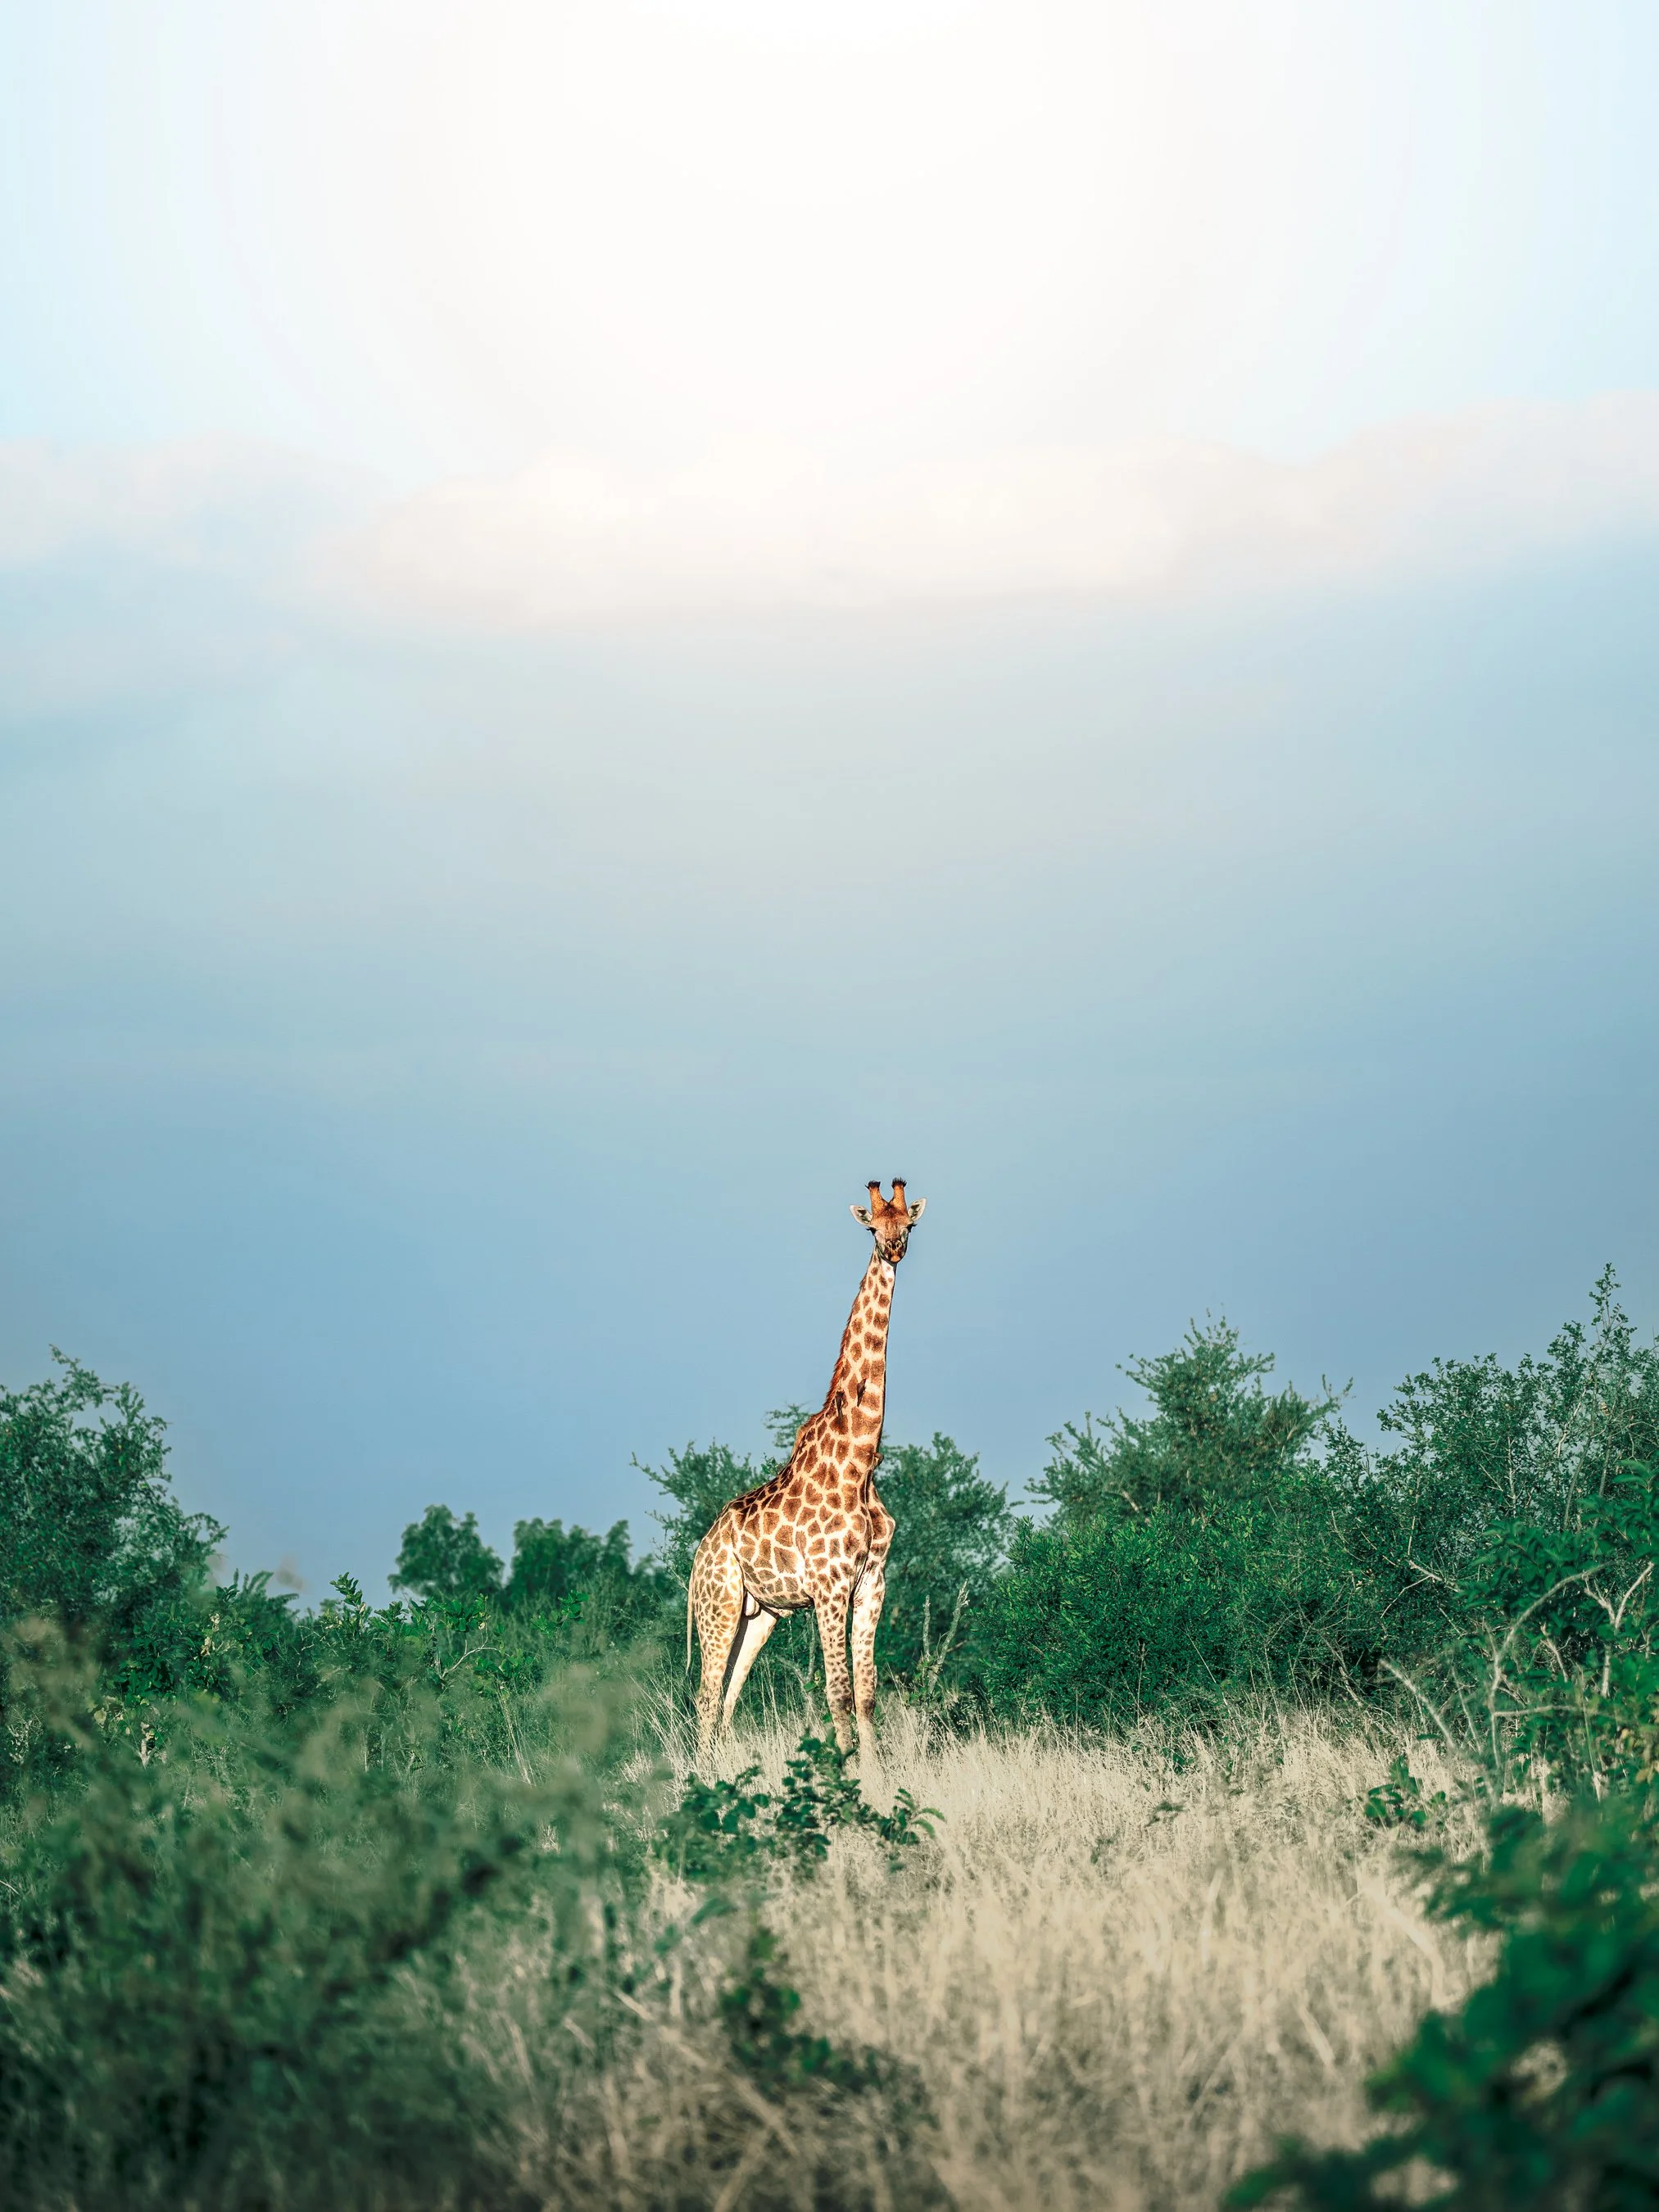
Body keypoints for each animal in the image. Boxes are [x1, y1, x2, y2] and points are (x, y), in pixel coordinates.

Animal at [687, 1179, 926, 1763]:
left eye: (909, 1223)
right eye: (873, 1227)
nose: (894, 1250)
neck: (859, 1460)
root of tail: (698, 1556)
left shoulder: (871, 1583)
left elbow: (865, 1692)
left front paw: (876, 1777)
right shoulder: (829, 1586)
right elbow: (837, 1691)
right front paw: (846, 1780)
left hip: (760, 1615)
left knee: (728, 1699)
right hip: (718, 1606)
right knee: (705, 1698)